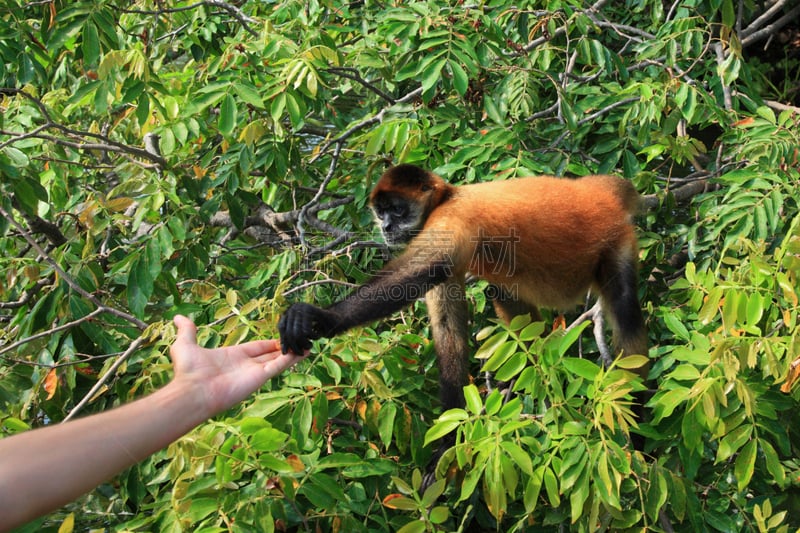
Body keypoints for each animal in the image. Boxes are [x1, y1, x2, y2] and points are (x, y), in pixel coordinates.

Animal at [278, 162, 648, 428]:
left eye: (396, 210)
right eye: (380, 212)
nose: (385, 227)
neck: (448, 196)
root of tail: (599, 195)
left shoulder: (449, 221)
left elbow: (413, 277)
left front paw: (319, 318)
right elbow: (448, 328)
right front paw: (448, 439)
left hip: (616, 242)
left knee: (625, 306)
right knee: (505, 289)